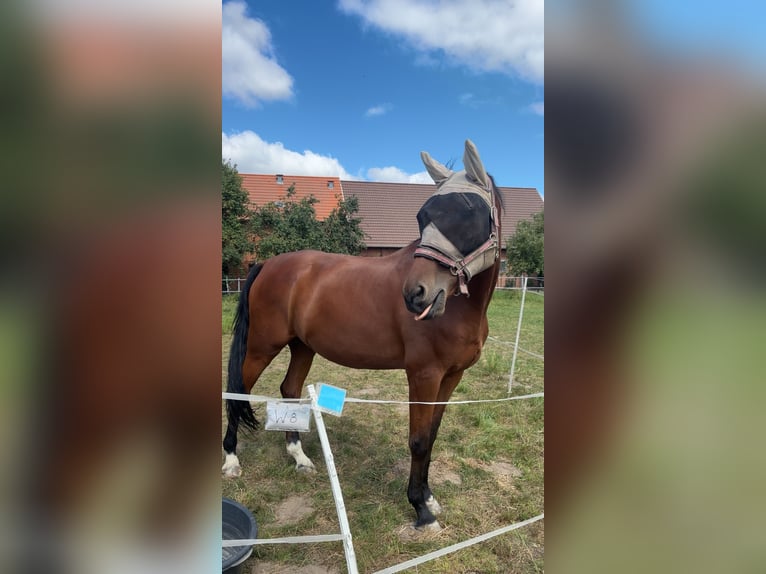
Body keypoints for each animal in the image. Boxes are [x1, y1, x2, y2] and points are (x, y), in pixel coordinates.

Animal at [222, 140, 503, 529]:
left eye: (469, 212)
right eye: (423, 216)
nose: (415, 294)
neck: (460, 308)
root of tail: (267, 264)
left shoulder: (451, 376)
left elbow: (432, 436)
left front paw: (430, 497)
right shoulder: (424, 375)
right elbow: (418, 440)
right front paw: (420, 508)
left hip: (302, 347)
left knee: (289, 389)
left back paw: (299, 457)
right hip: (263, 345)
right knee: (238, 390)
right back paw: (231, 460)